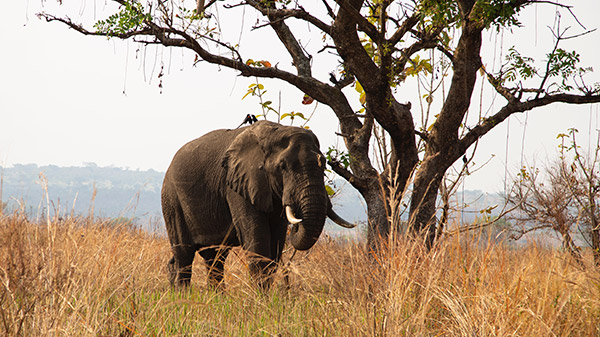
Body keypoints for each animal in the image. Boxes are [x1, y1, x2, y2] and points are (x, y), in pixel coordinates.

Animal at [162, 119, 354, 288]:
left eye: (324, 164)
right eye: (282, 167)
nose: (298, 223)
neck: (275, 131)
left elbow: (275, 246)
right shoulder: (237, 184)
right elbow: (257, 243)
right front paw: (263, 301)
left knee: (215, 257)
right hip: (172, 200)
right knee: (184, 256)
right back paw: (183, 297)